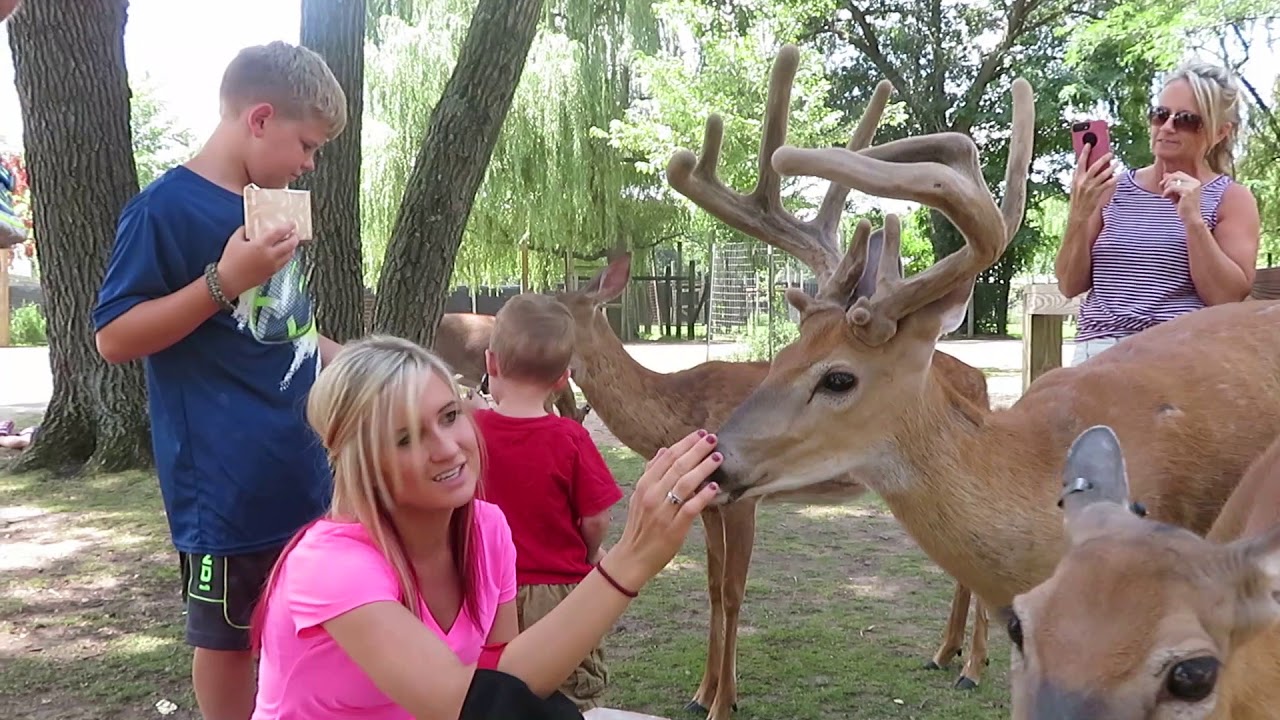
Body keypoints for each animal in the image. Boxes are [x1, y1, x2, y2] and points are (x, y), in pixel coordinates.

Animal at [553, 46, 994, 720]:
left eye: (543, 309)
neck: (677, 407)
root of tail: (981, 380)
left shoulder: (744, 500)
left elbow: (734, 592)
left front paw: (722, 701)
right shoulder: (711, 502)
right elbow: (712, 588)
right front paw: (700, 691)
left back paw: (971, 667)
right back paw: (945, 655)